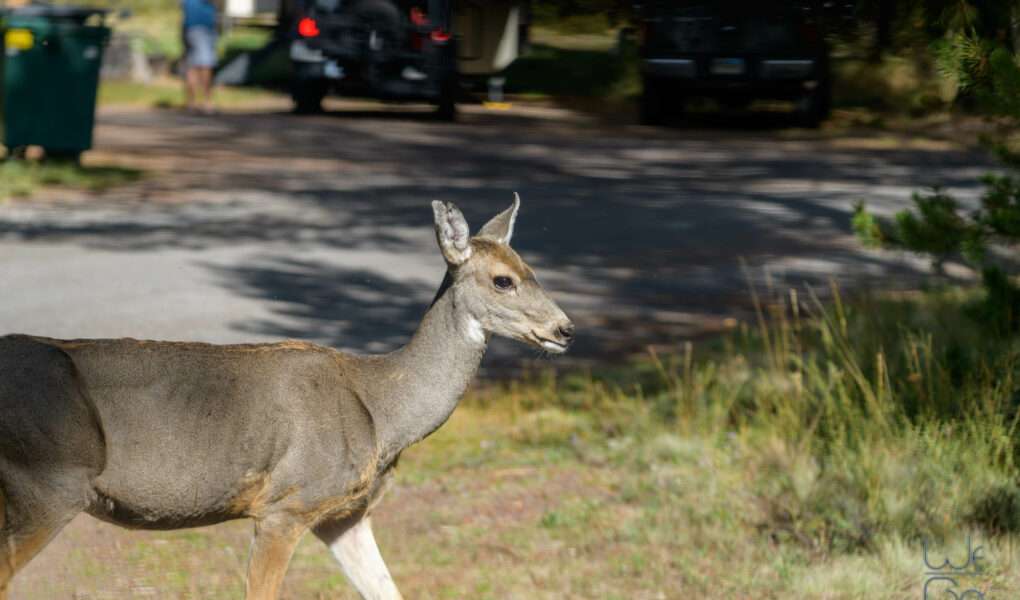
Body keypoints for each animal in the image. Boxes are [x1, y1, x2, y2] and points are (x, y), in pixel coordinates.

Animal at [0, 194, 571, 595]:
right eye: (503, 280)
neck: (382, 411)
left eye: (532, 270)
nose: (564, 329)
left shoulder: (345, 515)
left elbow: (387, 590)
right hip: (50, 482)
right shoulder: (285, 505)